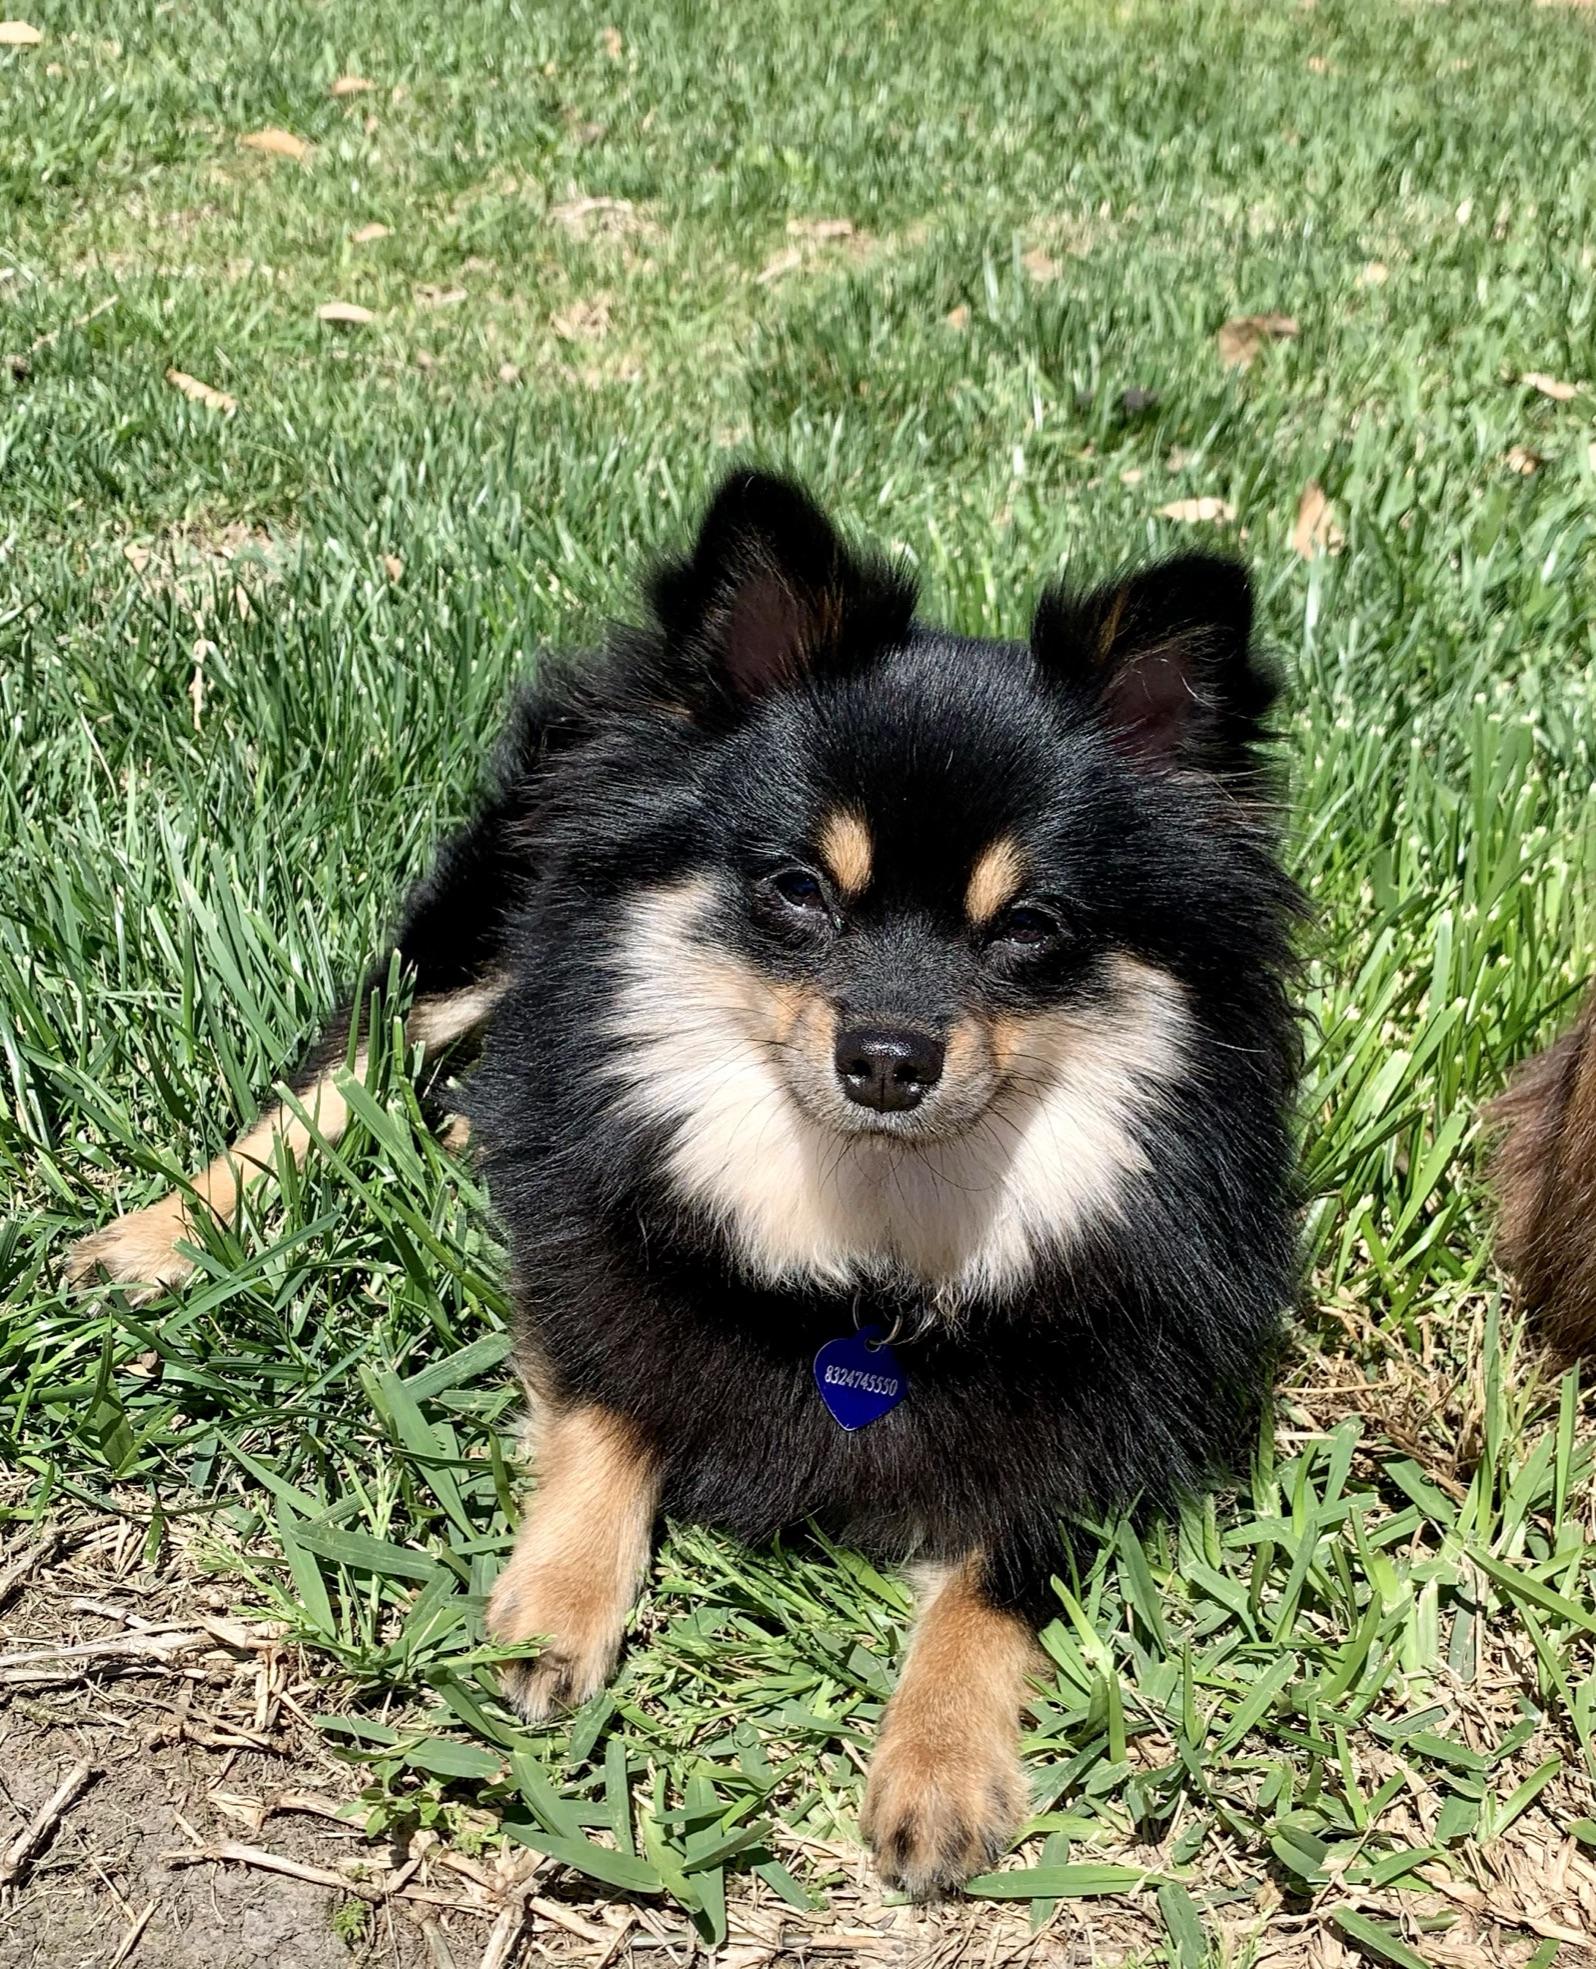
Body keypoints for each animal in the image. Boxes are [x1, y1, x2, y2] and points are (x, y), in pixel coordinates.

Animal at [69, 470, 1303, 1896]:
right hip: (495, 914)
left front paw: (940, 1760)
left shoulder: (1118, 1398)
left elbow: (1002, 1566)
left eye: (1032, 926)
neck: (866, 1232)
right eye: (797, 891)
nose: (888, 1058)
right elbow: (613, 1396)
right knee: (354, 1061)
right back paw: (159, 1237)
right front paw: (556, 1608)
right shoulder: (598, 1238)